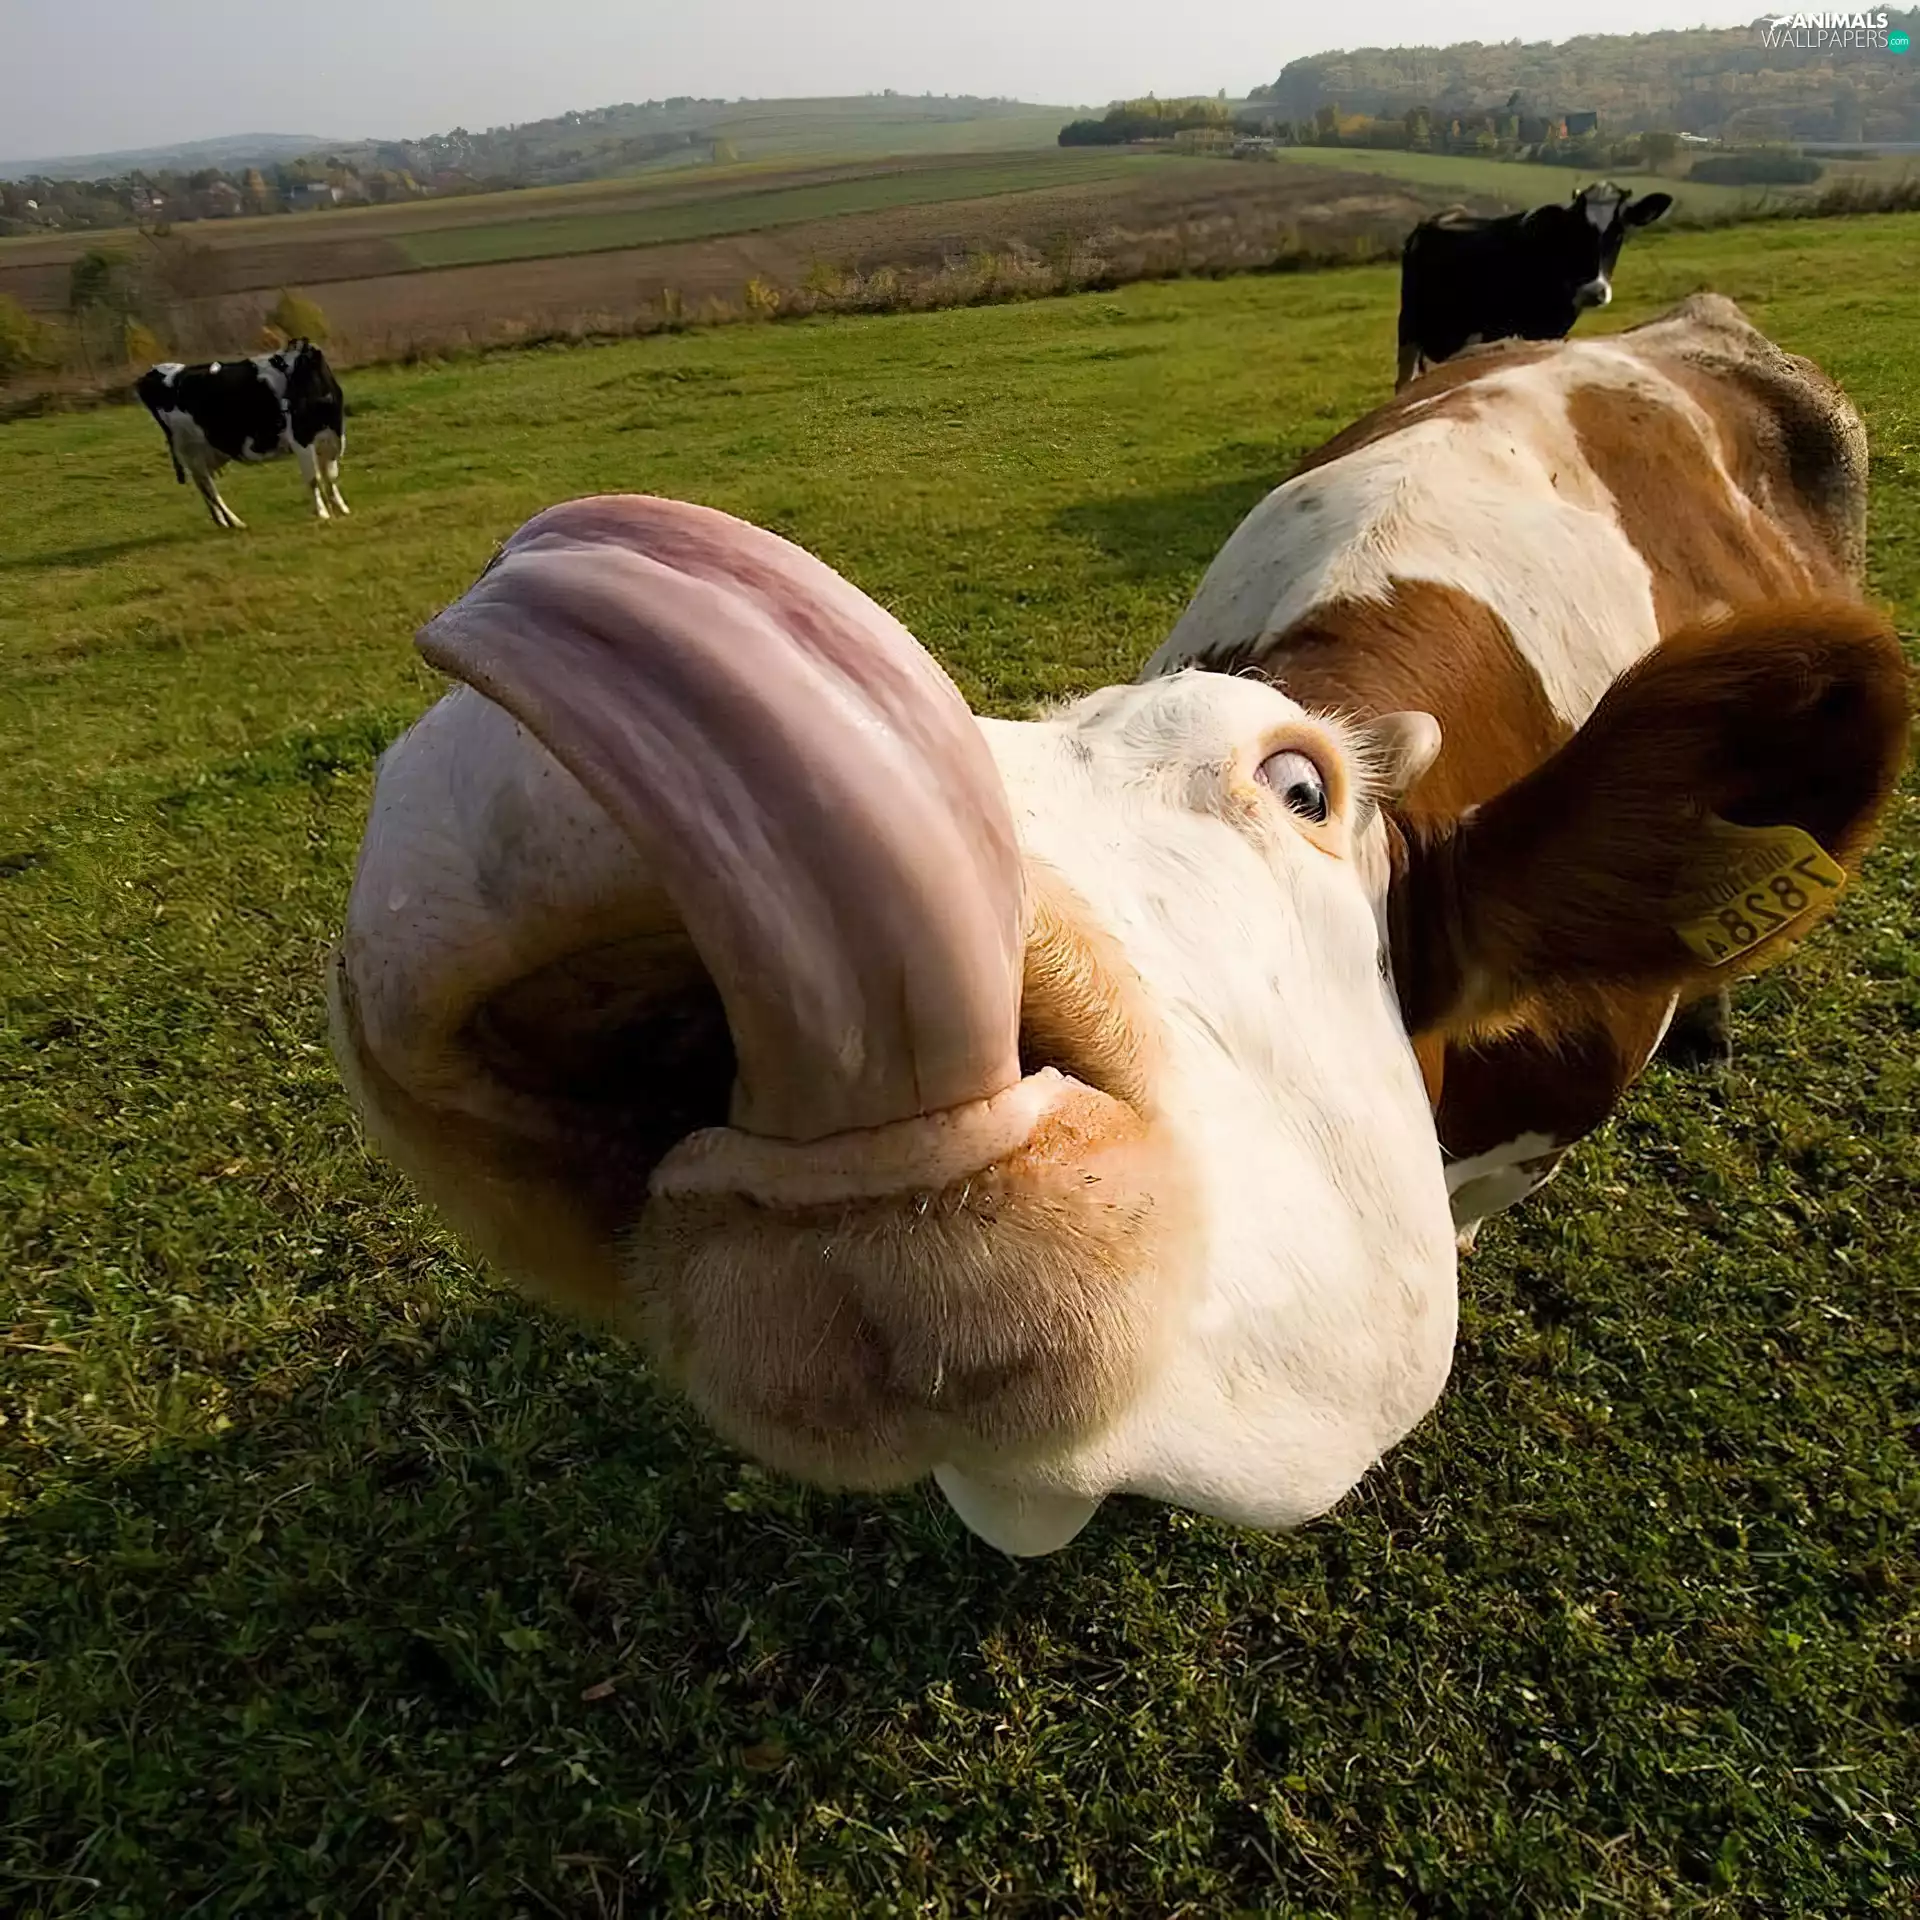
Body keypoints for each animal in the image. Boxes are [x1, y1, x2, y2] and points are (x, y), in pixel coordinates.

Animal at [135, 340, 348, 530]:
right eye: (293, 377)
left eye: (301, 374)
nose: (287, 409)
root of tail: (151, 374)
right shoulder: (301, 439)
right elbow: (314, 479)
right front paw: (323, 513)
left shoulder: (332, 438)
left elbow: (331, 475)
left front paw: (341, 507)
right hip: (189, 448)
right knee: (207, 486)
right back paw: (235, 522)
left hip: (206, 450)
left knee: (203, 484)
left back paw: (223, 522)